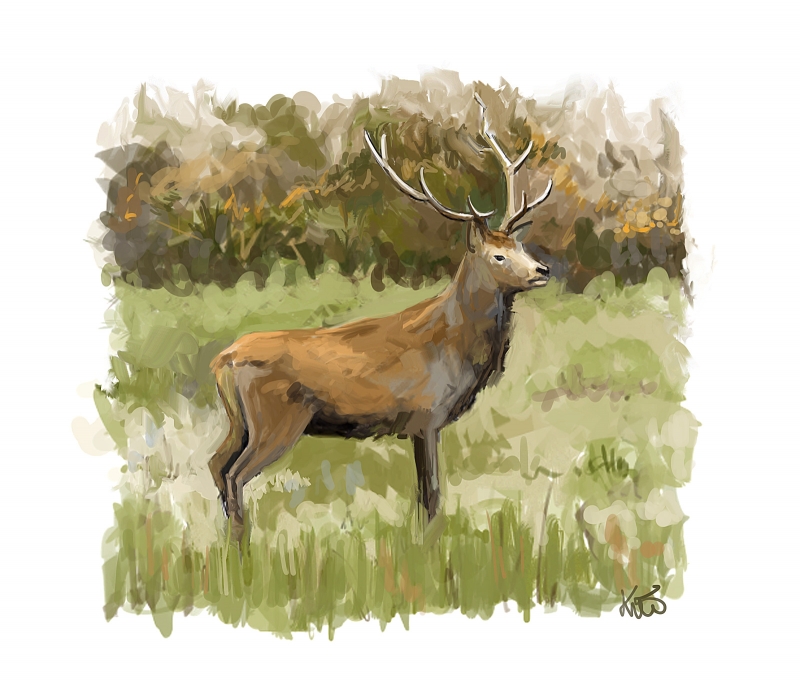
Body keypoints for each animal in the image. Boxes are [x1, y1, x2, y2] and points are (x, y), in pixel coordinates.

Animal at [208, 94, 554, 541]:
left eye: (521, 246)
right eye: (498, 255)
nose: (542, 270)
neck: (458, 348)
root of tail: (222, 360)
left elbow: (426, 497)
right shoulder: (425, 416)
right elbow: (431, 497)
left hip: (240, 423)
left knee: (216, 464)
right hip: (275, 421)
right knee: (234, 474)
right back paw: (243, 547)